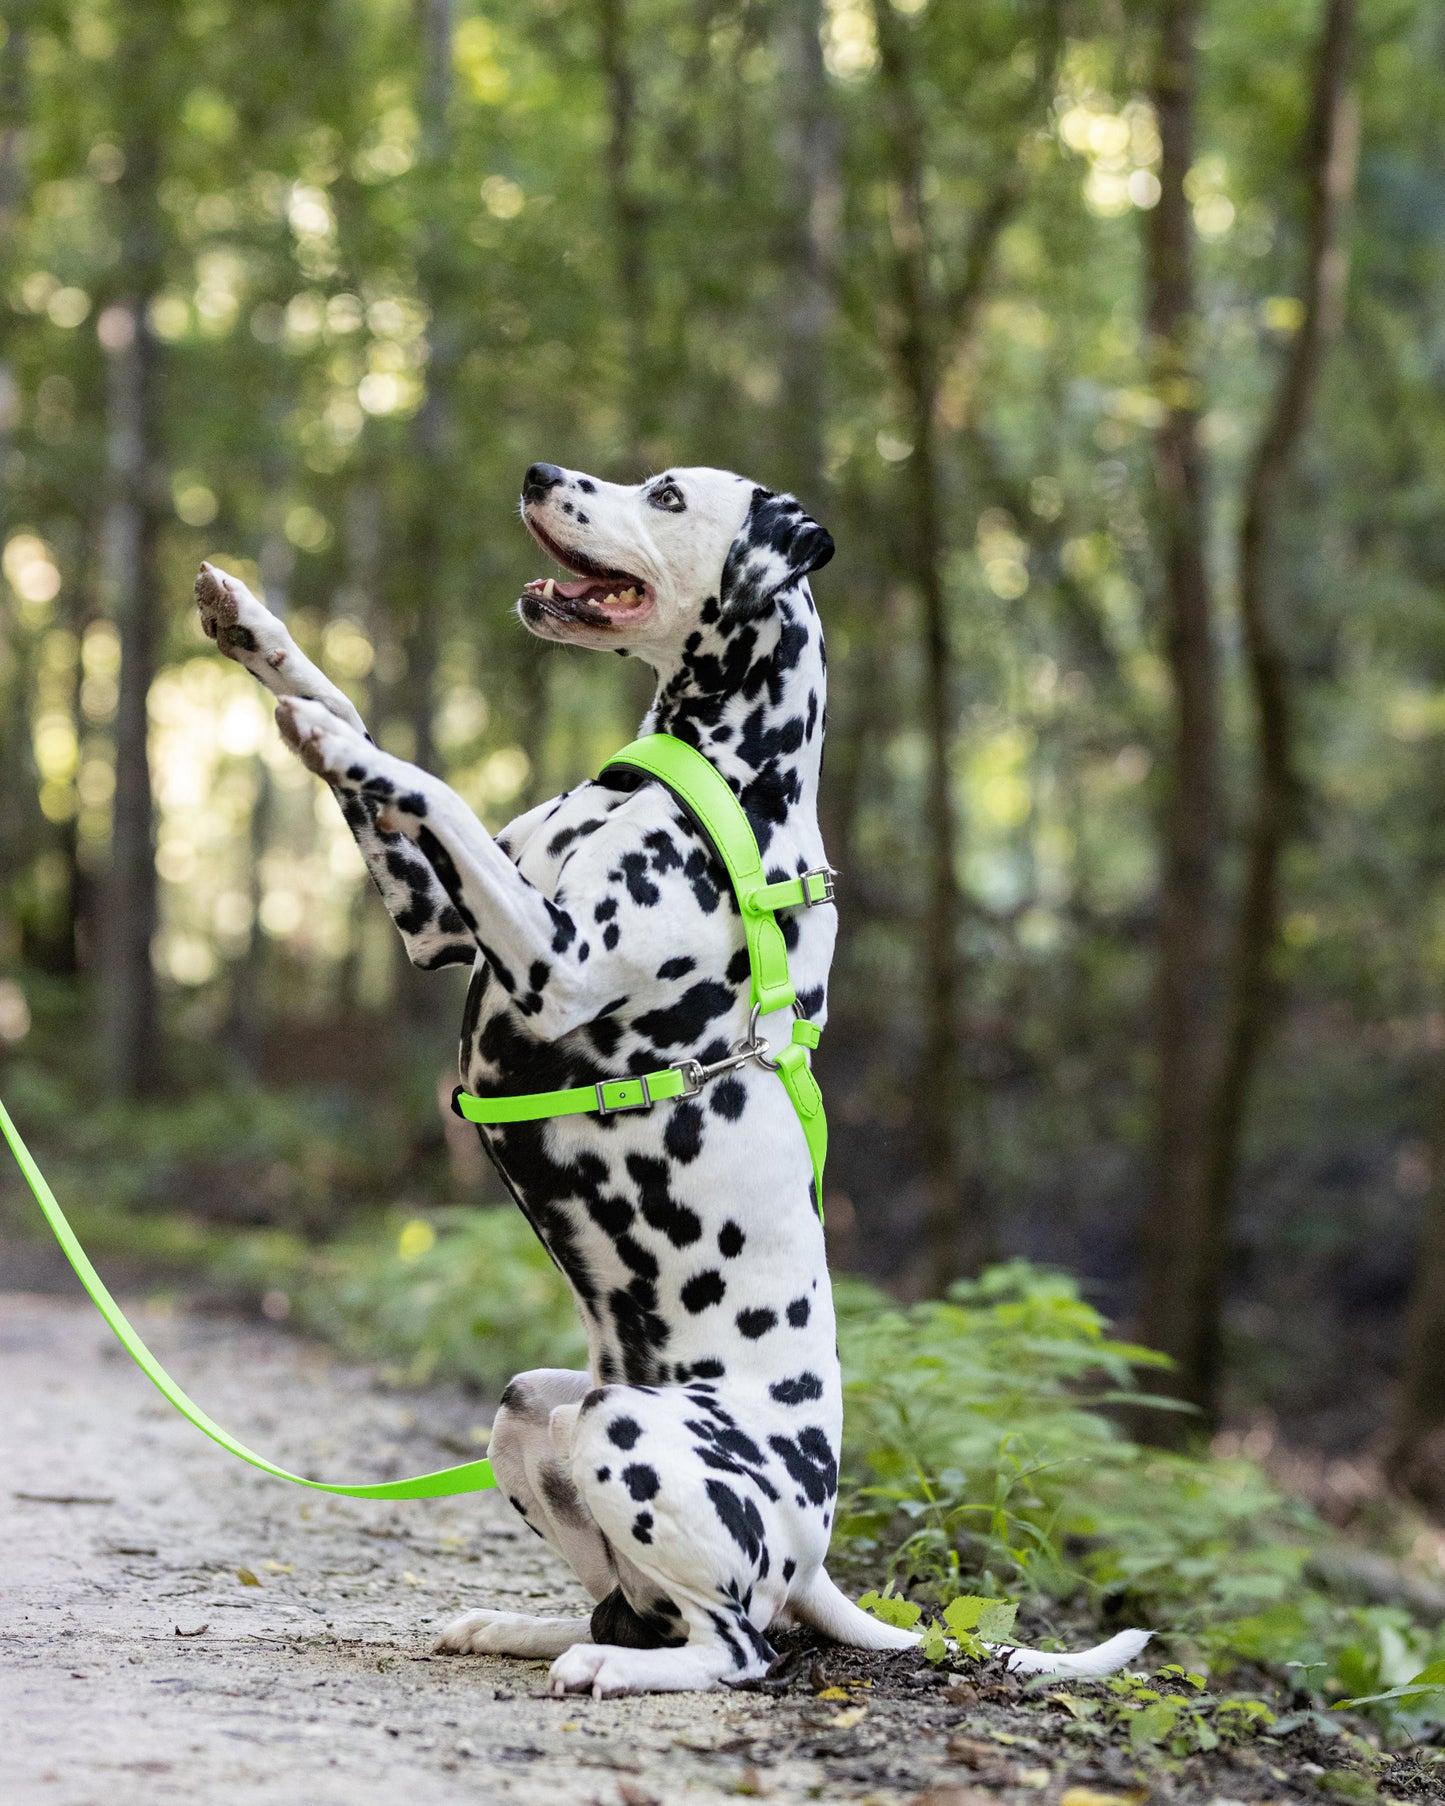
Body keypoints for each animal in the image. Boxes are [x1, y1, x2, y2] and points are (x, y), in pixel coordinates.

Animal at [197, 462, 1148, 1690]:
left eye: (664, 494)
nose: (538, 474)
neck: (717, 778)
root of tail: (812, 1554)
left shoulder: (551, 961)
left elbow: (424, 777)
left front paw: (320, 728)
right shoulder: (438, 924)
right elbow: (369, 724)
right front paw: (257, 637)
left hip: (631, 1439)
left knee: (736, 1651)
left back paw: (620, 1670)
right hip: (534, 1412)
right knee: (624, 1605)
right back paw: (526, 1631)